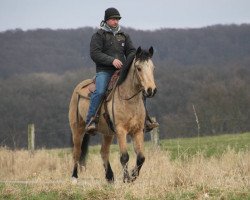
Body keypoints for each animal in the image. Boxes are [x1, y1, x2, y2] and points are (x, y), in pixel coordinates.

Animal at [69, 46, 156, 183]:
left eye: (153, 68)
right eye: (139, 68)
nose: (151, 90)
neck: (128, 99)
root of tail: (78, 88)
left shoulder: (137, 131)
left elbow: (141, 157)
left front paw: (133, 175)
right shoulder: (121, 131)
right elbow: (124, 156)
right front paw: (126, 179)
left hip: (107, 133)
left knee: (104, 152)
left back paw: (110, 177)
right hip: (77, 130)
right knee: (76, 152)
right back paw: (74, 177)